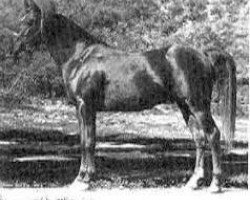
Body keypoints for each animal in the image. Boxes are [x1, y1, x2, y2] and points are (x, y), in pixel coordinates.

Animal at [13, 0, 236, 192]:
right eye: (21, 19)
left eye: (30, 21)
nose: (15, 50)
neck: (80, 56)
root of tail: (204, 54)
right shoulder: (80, 108)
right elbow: (84, 140)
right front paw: (80, 178)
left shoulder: (86, 106)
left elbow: (89, 142)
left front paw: (85, 180)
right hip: (185, 107)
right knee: (199, 138)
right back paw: (193, 182)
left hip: (198, 105)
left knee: (213, 135)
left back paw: (215, 184)